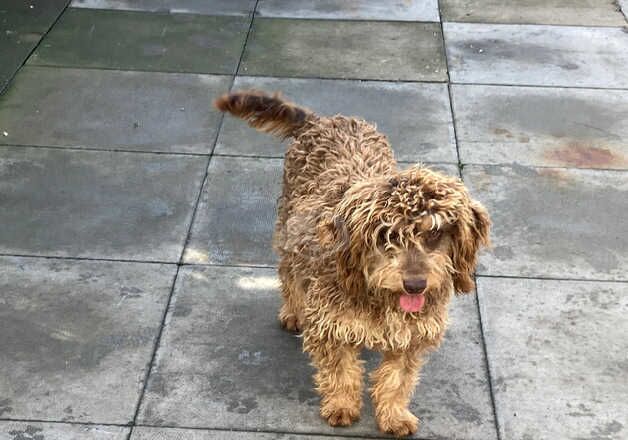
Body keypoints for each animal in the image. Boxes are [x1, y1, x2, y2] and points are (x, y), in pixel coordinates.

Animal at [216, 91, 490, 438]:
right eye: (387, 235)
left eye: (435, 232)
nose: (415, 285)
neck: (376, 294)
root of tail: (323, 120)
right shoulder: (329, 323)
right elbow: (340, 370)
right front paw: (342, 405)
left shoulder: (412, 336)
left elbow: (397, 379)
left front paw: (394, 414)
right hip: (288, 230)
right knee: (288, 274)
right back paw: (293, 311)